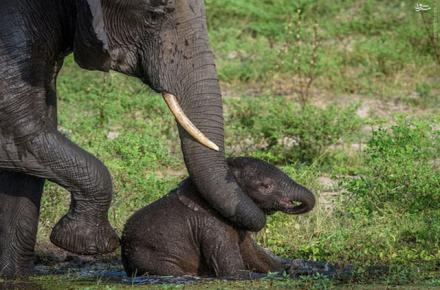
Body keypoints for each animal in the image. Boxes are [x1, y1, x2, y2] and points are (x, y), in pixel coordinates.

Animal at [120, 157, 314, 278]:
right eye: (266, 186)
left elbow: (257, 258)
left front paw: (297, 268)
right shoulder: (213, 226)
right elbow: (232, 270)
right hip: (149, 256)